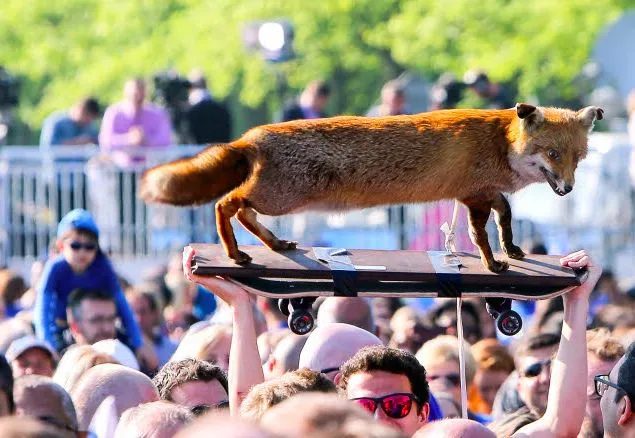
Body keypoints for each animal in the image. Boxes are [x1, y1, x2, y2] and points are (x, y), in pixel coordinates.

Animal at [142, 104, 604, 272]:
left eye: (577, 158)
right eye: (552, 154)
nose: (567, 189)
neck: (499, 143)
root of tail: (250, 137)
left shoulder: (479, 193)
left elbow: (505, 217)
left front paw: (513, 249)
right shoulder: (473, 196)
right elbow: (480, 235)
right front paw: (494, 264)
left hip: (278, 199)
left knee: (243, 212)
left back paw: (275, 245)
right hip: (282, 196)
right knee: (226, 204)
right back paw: (236, 253)